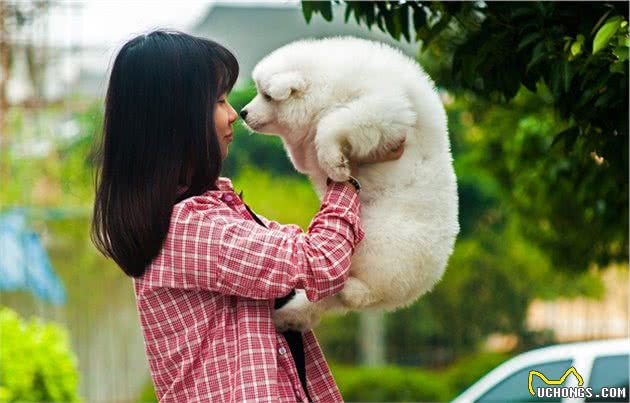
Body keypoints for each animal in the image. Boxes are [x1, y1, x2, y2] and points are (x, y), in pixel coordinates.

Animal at [242, 36, 460, 332]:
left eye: (266, 95)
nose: (242, 112)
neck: (328, 85)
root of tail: (430, 276)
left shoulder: (382, 106)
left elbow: (332, 123)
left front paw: (335, 164)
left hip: (385, 242)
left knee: (372, 291)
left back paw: (350, 290)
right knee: (321, 301)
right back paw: (285, 317)